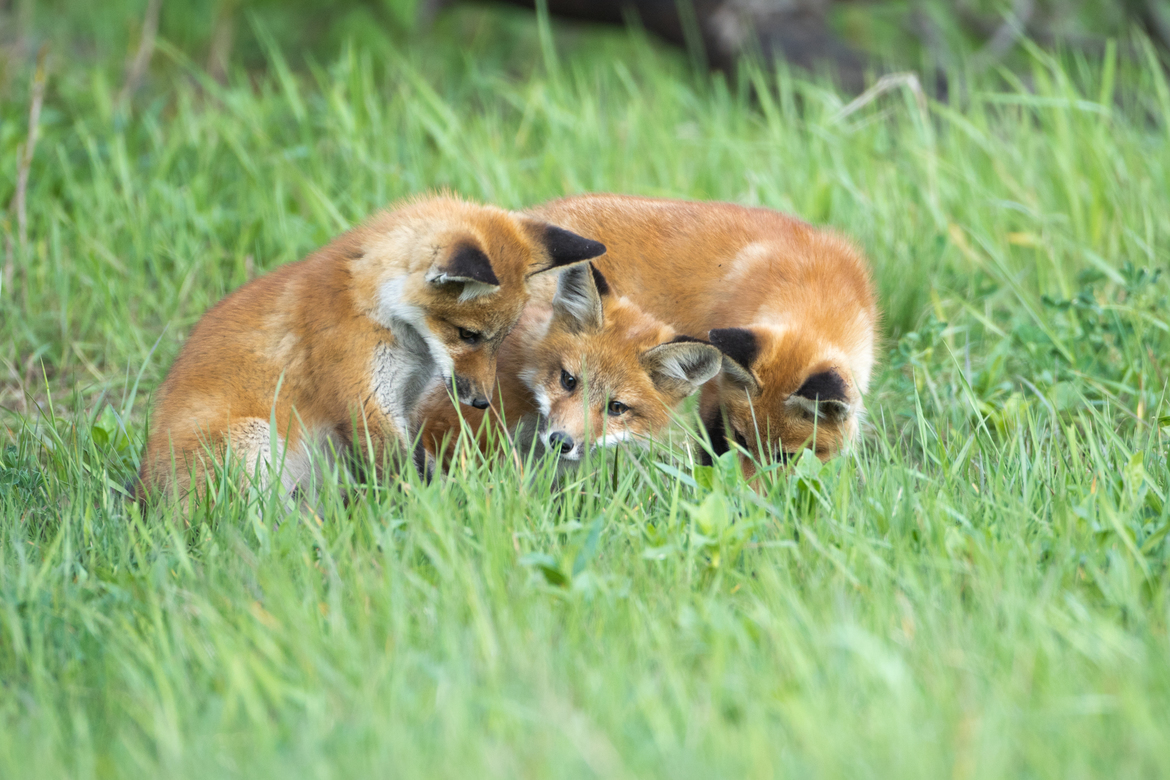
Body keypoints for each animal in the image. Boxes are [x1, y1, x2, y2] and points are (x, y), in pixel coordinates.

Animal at [136, 195, 605, 506]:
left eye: (501, 338)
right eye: (468, 335)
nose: (480, 402)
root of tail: (144, 498)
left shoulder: (403, 402)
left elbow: (419, 462)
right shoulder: (365, 403)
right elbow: (406, 476)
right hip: (251, 440)